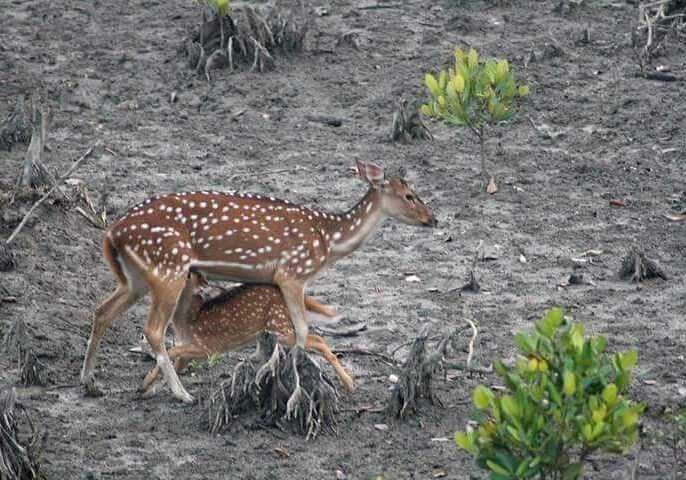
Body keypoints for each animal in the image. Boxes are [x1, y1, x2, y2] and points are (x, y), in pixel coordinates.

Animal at [140, 272, 354, 396]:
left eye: (187, 275)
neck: (187, 322)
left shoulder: (207, 347)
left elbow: (172, 351)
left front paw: (146, 385)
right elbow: (174, 362)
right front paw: (149, 388)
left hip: (280, 326)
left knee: (318, 339)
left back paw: (350, 383)